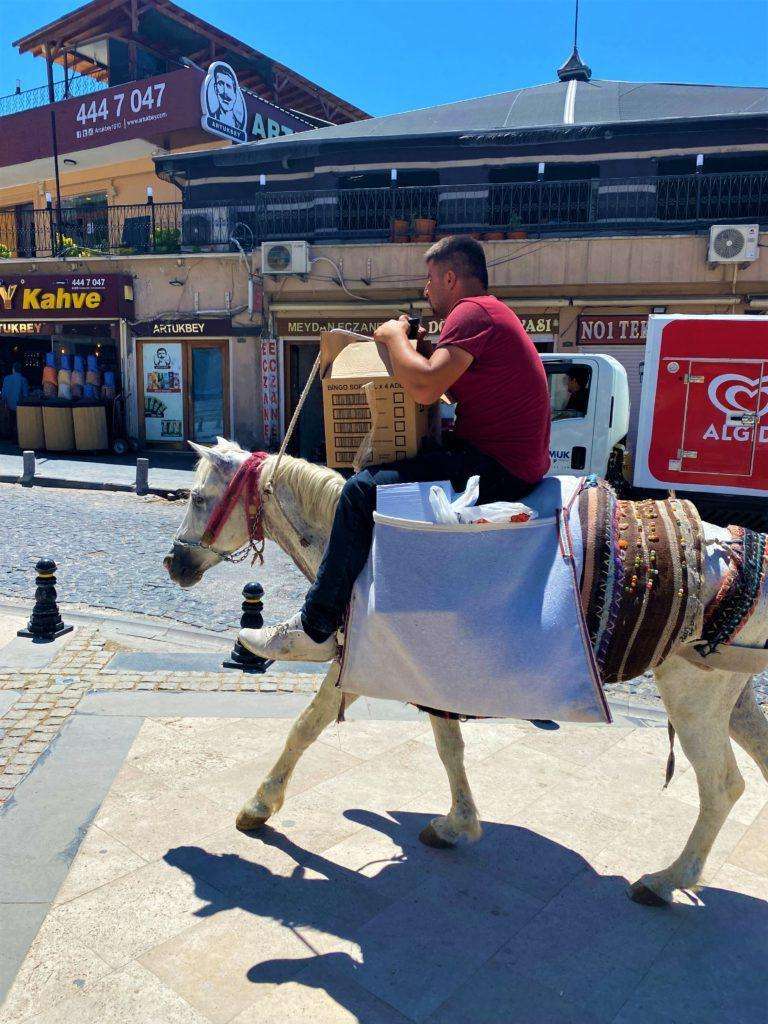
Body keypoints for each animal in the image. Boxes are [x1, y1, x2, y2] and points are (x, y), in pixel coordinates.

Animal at [163, 440, 768, 905]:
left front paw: (260, 805)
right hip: (731, 694)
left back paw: (666, 881)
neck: (362, 558)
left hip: (693, 693)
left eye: (197, 497)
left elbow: (306, 727)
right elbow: (448, 746)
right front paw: (458, 823)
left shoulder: (360, 661)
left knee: (720, 786)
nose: (174, 563)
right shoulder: (426, 670)